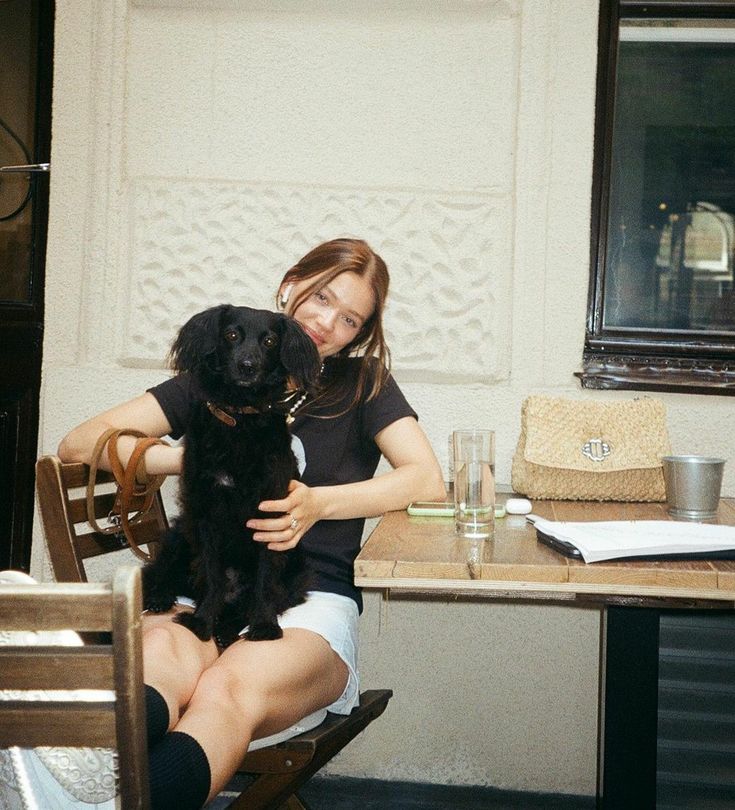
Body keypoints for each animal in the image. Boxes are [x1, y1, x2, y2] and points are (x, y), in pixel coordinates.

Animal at [144, 304, 322, 644]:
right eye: (231, 335)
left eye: (269, 341)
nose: (247, 366)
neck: (240, 419)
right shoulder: (204, 514)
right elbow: (212, 577)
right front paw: (201, 621)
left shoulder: (270, 517)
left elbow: (265, 580)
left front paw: (264, 626)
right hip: (179, 535)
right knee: (159, 573)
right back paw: (160, 597)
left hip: (298, 567)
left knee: (257, 597)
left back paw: (228, 629)